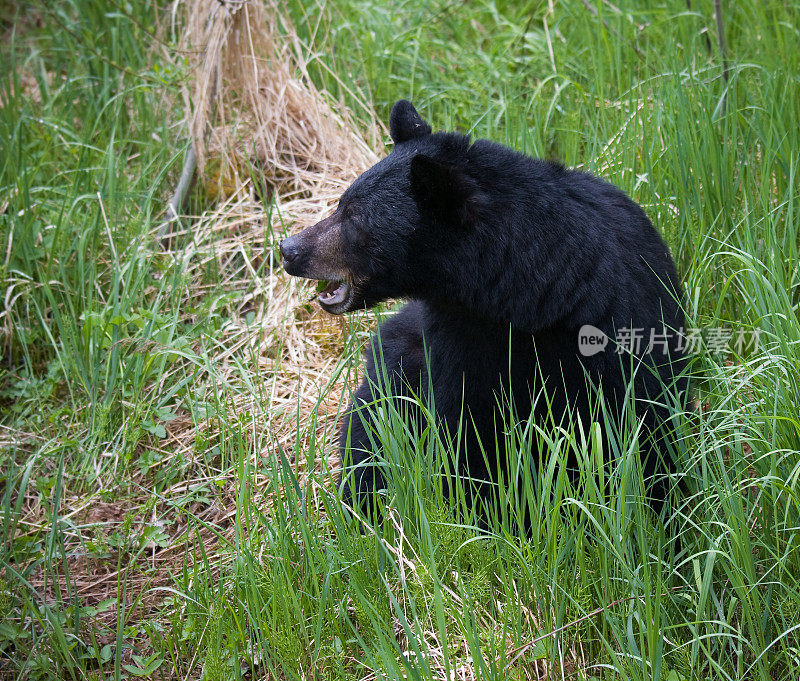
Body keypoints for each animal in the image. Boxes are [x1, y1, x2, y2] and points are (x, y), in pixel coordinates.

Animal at [282, 101, 688, 512]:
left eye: (356, 219)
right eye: (341, 204)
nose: (289, 249)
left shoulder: (620, 336)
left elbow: (635, 435)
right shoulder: (459, 336)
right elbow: (462, 430)